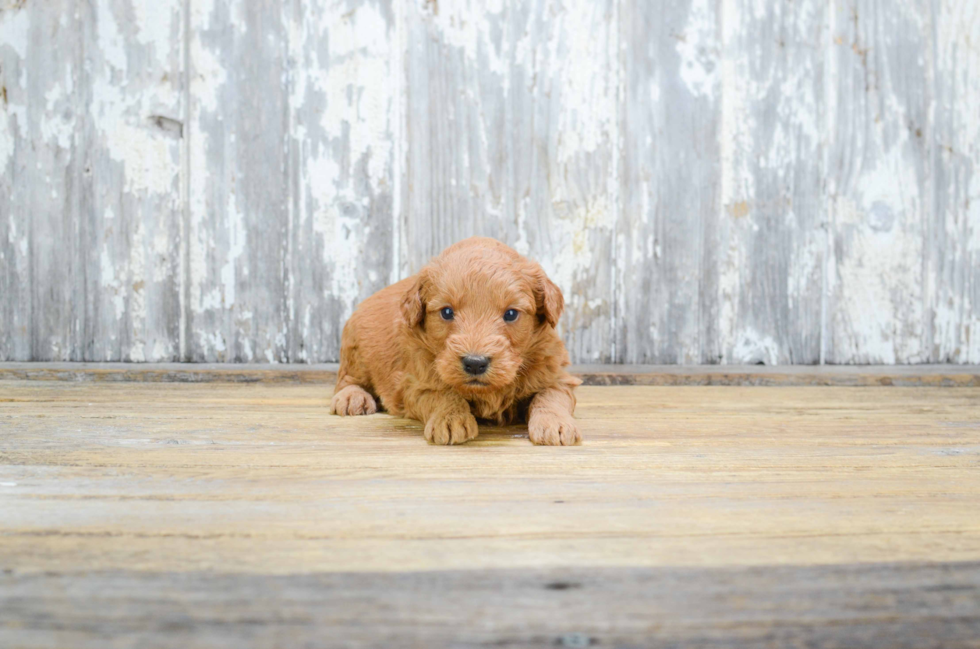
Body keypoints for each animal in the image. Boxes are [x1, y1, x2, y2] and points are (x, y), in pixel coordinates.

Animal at [330, 238, 580, 446]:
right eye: (447, 312)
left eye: (511, 314)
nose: (475, 363)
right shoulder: (414, 384)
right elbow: (442, 394)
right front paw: (450, 419)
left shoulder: (555, 373)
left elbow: (551, 395)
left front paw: (554, 423)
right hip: (355, 351)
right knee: (346, 380)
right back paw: (352, 397)